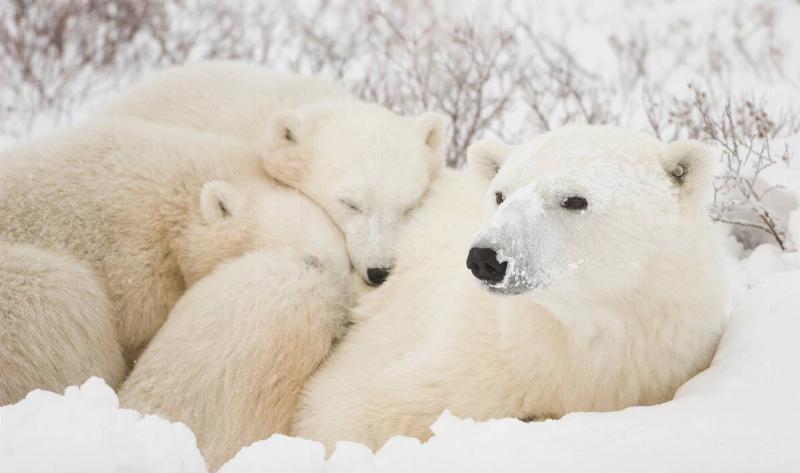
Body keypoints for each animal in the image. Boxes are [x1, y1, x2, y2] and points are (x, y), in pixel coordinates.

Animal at [118, 125, 727, 467]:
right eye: (500, 192)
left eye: (574, 199)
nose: (485, 257)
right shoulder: (459, 352)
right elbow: (346, 409)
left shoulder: (657, 361)